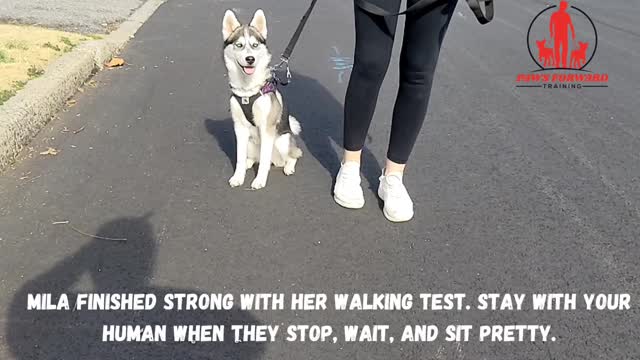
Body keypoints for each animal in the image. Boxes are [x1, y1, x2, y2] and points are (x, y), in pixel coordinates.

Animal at [222, 8, 302, 190]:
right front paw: (238, 176)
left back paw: (288, 167)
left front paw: (259, 180)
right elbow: (239, 158)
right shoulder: (239, 128)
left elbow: (264, 162)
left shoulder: (267, 129)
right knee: (252, 158)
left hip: (282, 141)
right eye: (239, 45)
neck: (247, 91)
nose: (250, 59)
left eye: (255, 45)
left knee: (293, 155)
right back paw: (248, 163)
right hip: (251, 142)